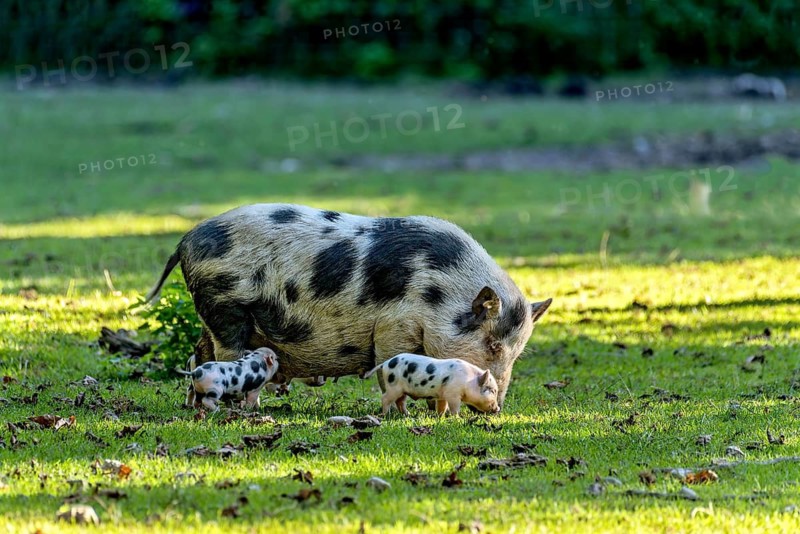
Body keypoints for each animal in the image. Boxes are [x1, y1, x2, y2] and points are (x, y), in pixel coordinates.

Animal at [145, 203, 552, 408]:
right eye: (492, 344)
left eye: (516, 352)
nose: (499, 405)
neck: (438, 294)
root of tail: (186, 239)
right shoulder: (394, 327)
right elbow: (393, 361)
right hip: (225, 306)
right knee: (225, 354)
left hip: (208, 314)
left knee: (198, 354)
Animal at [364, 353, 500, 415]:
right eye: (492, 390)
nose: (498, 408)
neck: (468, 381)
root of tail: (386, 363)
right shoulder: (453, 394)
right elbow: (454, 407)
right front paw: (457, 418)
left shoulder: (442, 395)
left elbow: (442, 406)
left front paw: (440, 417)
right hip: (393, 387)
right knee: (385, 398)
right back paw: (385, 414)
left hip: (402, 390)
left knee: (400, 401)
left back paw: (407, 414)